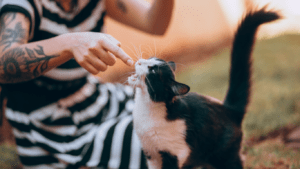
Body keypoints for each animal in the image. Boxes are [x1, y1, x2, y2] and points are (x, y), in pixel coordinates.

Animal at [127, 7, 280, 169]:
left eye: (153, 70)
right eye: (149, 59)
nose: (140, 61)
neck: (146, 108)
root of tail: (228, 109)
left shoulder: (176, 153)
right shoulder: (150, 154)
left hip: (225, 156)